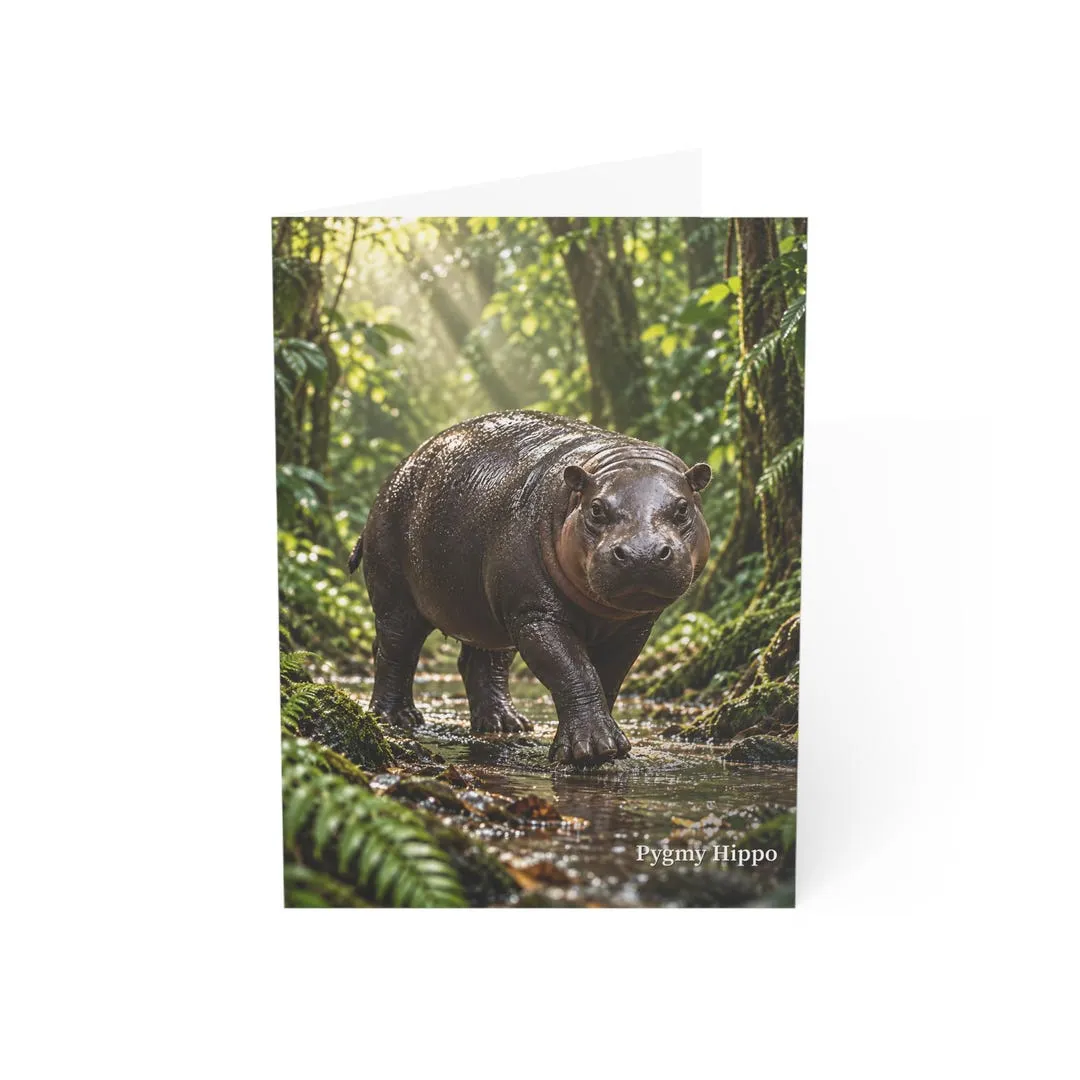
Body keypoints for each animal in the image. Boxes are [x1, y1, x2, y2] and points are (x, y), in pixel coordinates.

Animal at [348, 410, 711, 766]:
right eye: (596, 508)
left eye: (683, 508)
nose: (642, 553)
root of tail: (395, 474)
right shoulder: (536, 612)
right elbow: (573, 671)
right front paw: (593, 751)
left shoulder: (634, 626)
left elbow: (608, 677)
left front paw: (612, 746)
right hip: (396, 595)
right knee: (395, 649)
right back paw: (396, 718)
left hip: (489, 612)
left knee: (482, 661)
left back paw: (506, 724)